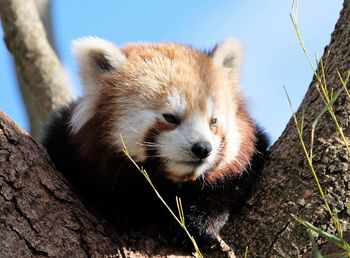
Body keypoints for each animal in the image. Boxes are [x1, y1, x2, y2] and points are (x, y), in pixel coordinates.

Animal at [41, 37, 270, 247]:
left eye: (213, 121)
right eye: (170, 117)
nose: (203, 148)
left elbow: (233, 182)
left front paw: (201, 221)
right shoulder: (65, 143)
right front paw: (118, 206)